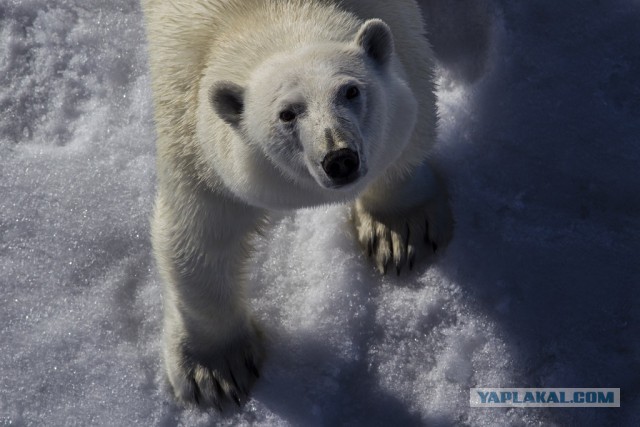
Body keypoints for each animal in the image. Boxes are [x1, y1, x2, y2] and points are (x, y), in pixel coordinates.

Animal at [142, 0, 452, 410]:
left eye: (350, 90)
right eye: (287, 113)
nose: (339, 158)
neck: (266, 13)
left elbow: (407, 135)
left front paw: (400, 232)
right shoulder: (193, 125)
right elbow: (199, 235)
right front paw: (216, 371)